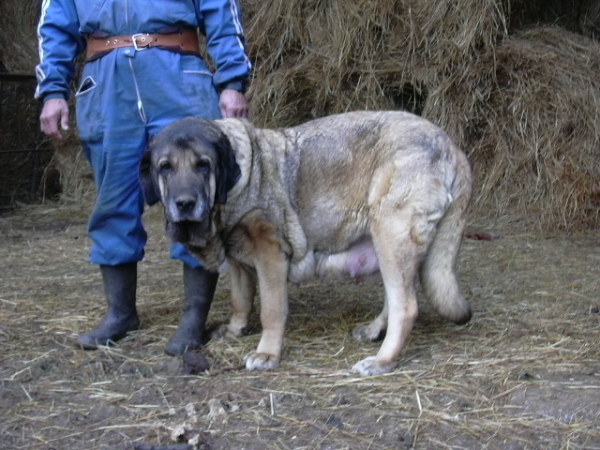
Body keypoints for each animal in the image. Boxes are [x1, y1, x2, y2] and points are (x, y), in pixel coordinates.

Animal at [139, 110, 474, 376]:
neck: (239, 182)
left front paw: (266, 353)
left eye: (203, 165)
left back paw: (382, 361)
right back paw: (373, 331)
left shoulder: (270, 255)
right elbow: (240, 299)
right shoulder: (238, 260)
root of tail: (451, 145)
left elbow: (271, 310)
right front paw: (235, 330)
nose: (185, 203)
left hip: (390, 232)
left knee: (405, 306)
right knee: (395, 299)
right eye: (165, 167)